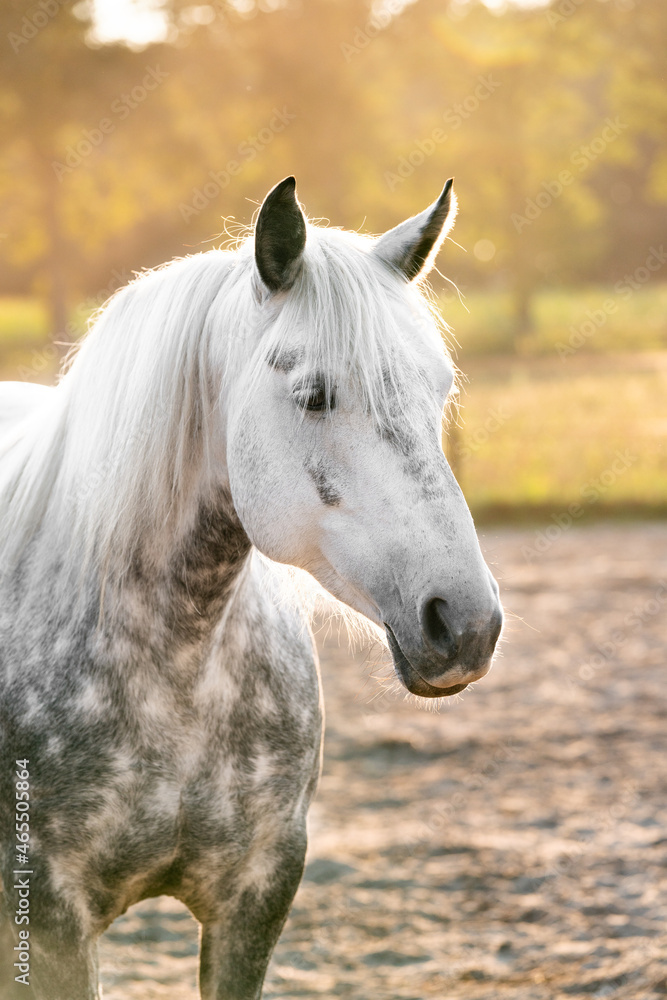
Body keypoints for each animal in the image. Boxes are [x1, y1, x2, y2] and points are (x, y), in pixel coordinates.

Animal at [0, 175, 502, 999]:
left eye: (440, 389)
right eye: (314, 395)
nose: (465, 625)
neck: (178, 667)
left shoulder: (257, 899)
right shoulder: (49, 922)